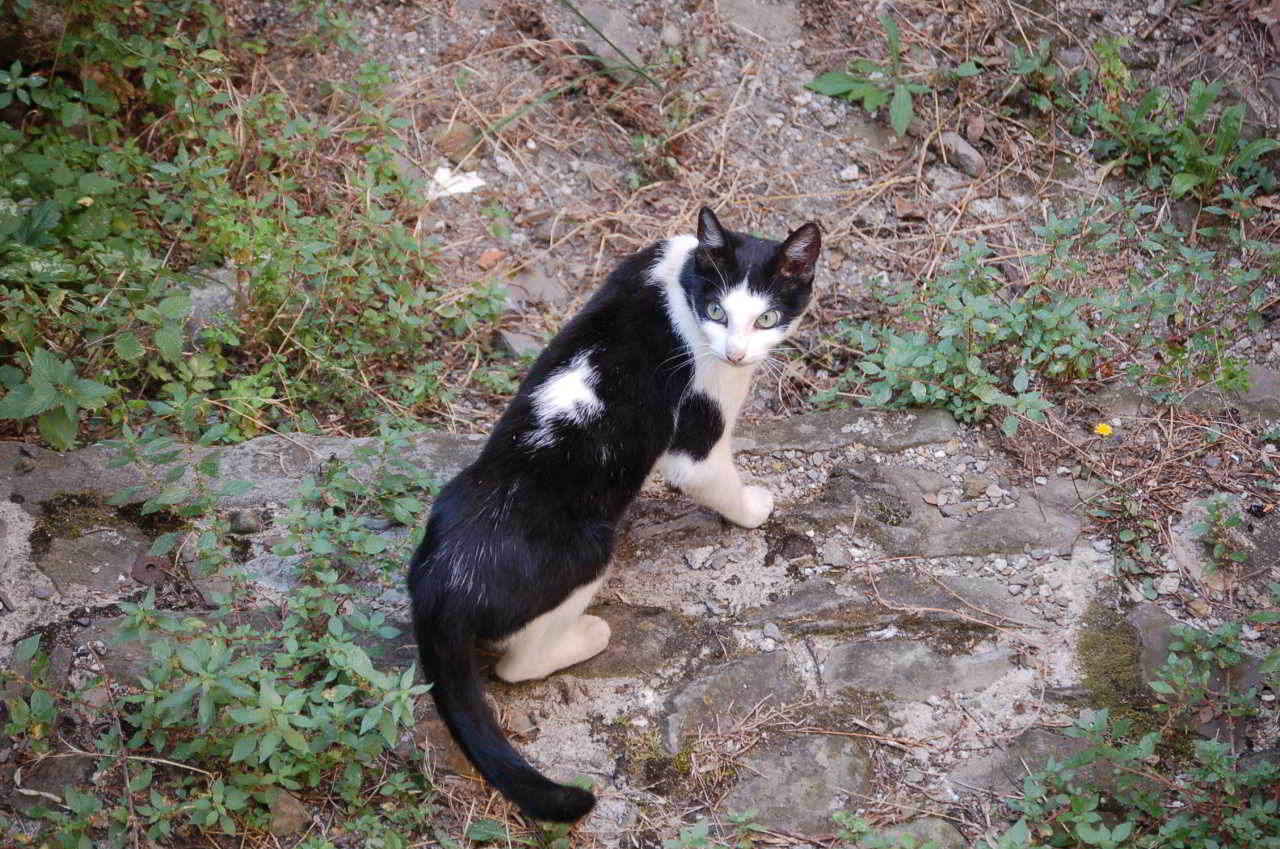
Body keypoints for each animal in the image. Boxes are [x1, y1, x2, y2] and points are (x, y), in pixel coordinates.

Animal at [414, 207, 824, 824]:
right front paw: (755, 506)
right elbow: (712, 476)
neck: (683, 280)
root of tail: (441, 586)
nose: (735, 354)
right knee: (519, 664)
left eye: (768, 317)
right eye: (718, 313)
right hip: (588, 549)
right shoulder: (698, 432)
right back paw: (588, 635)